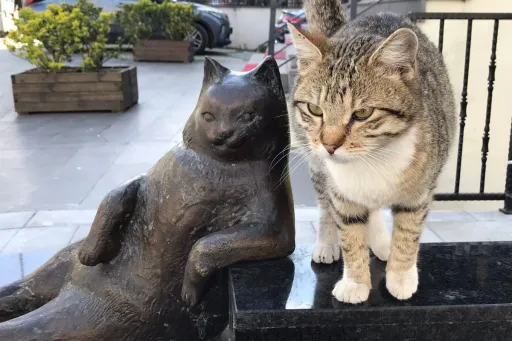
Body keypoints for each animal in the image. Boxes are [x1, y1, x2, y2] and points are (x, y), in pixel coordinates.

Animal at [288, 0, 456, 302]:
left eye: (363, 114)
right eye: (315, 109)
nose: (329, 145)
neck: (373, 159)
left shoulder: (420, 190)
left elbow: (409, 228)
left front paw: (401, 275)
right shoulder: (340, 191)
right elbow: (349, 229)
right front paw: (355, 282)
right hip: (316, 163)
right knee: (326, 202)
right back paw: (328, 242)